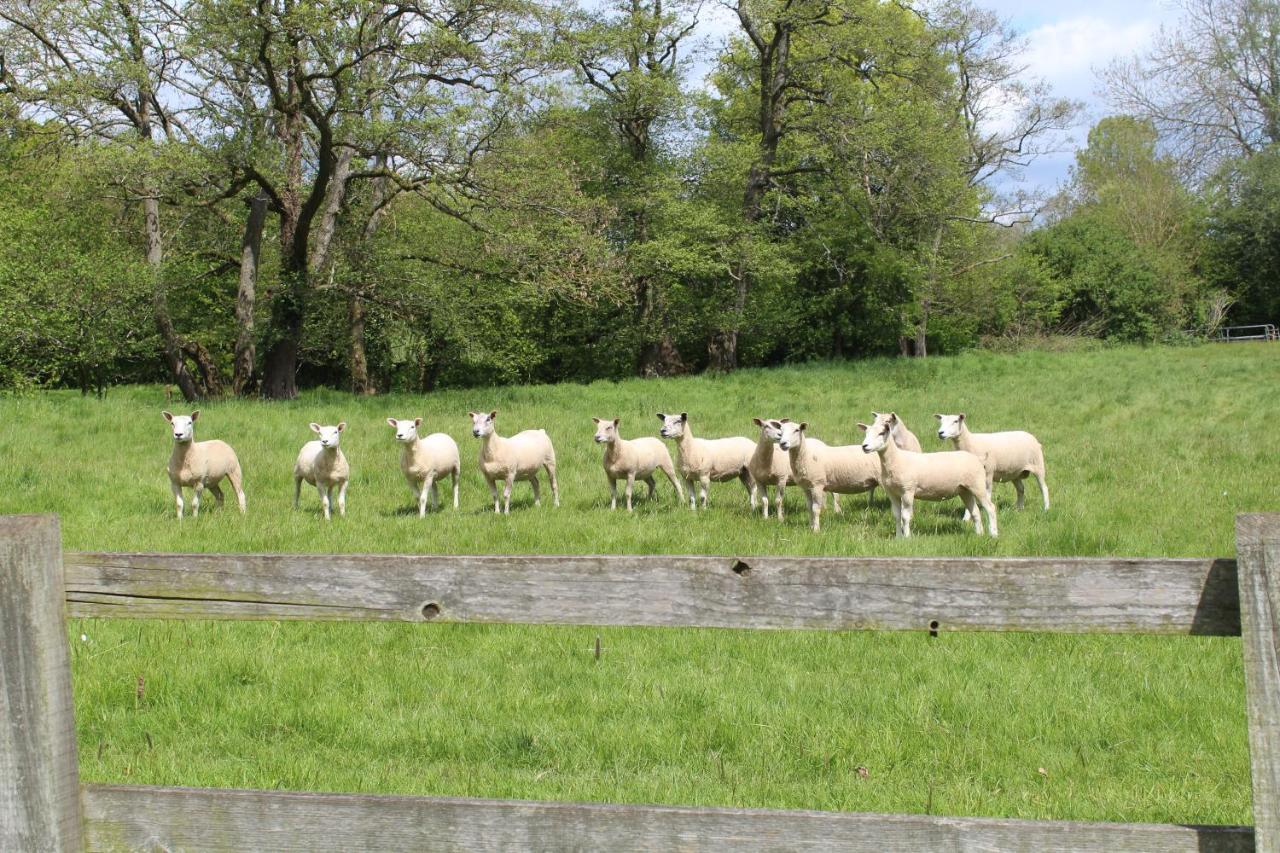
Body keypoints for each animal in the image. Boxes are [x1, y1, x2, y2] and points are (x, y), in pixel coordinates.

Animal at [860, 409, 998, 535]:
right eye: (866, 434)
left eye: (881, 433)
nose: (864, 446)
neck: (896, 459)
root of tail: (976, 458)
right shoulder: (892, 493)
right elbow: (897, 516)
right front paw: (898, 538)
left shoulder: (908, 491)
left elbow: (905, 517)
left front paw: (907, 538)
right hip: (964, 489)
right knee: (976, 512)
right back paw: (979, 535)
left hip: (978, 485)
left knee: (990, 508)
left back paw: (993, 534)